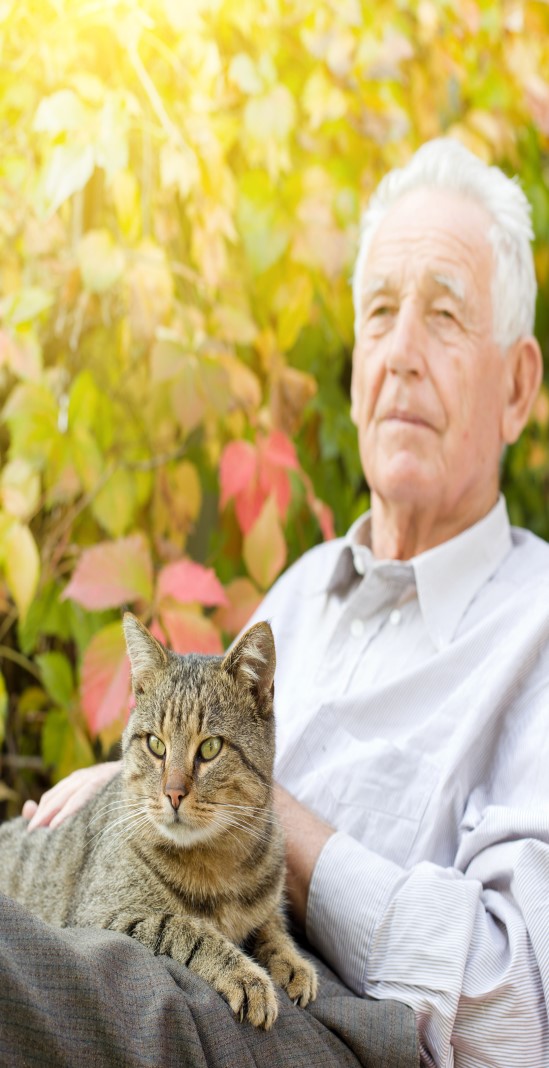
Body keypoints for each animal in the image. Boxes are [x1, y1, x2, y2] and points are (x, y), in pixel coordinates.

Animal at [0, 615, 316, 1029]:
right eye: (156, 744)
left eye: (210, 747)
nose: (173, 793)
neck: (218, 862)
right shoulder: (100, 915)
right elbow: (187, 928)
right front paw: (247, 976)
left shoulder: (265, 903)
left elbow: (273, 925)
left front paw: (292, 961)